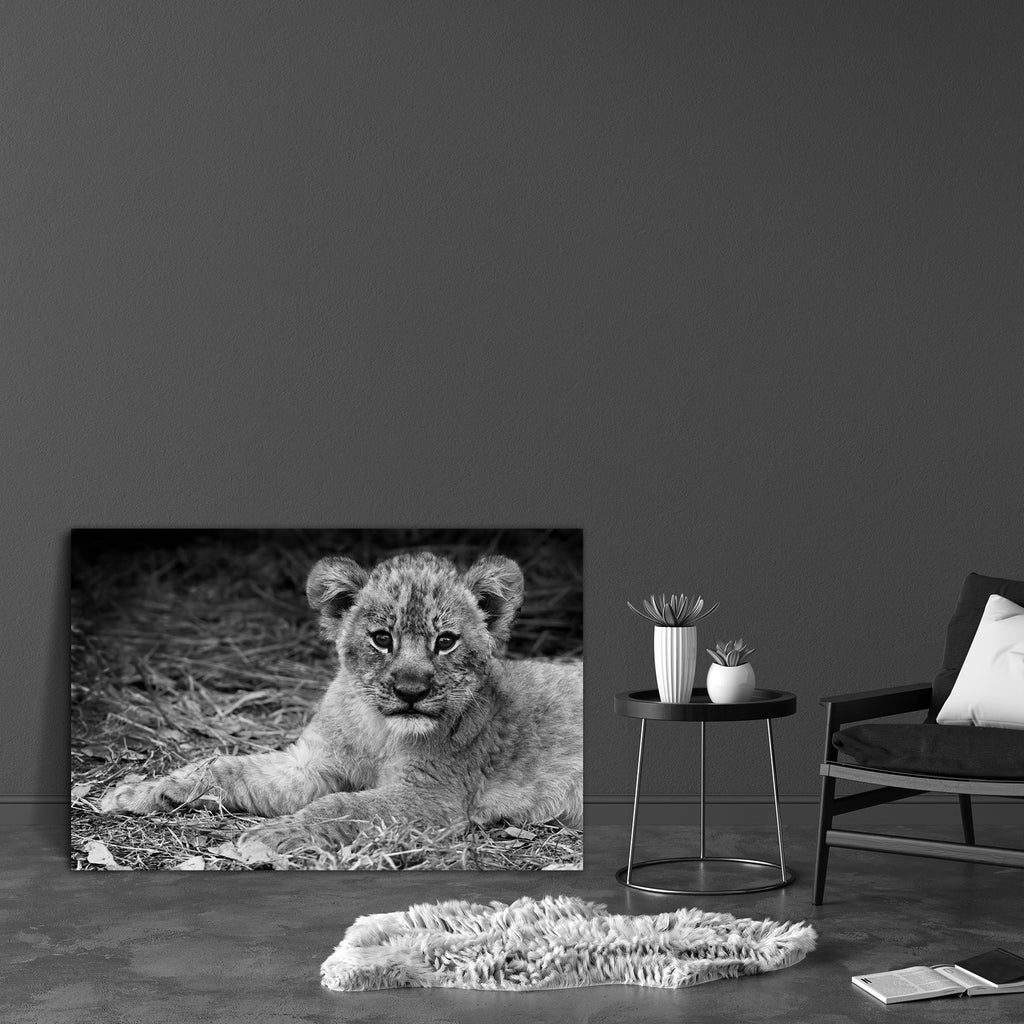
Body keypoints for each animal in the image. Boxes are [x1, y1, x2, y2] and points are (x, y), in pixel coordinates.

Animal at [99, 551, 583, 856]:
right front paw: (140, 791)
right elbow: (226, 767)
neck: (379, 731)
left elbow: (341, 806)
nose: (411, 691)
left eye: (446, 642)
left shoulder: (432, 796)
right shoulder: (310, 763)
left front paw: (270, 836)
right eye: (381, 639)